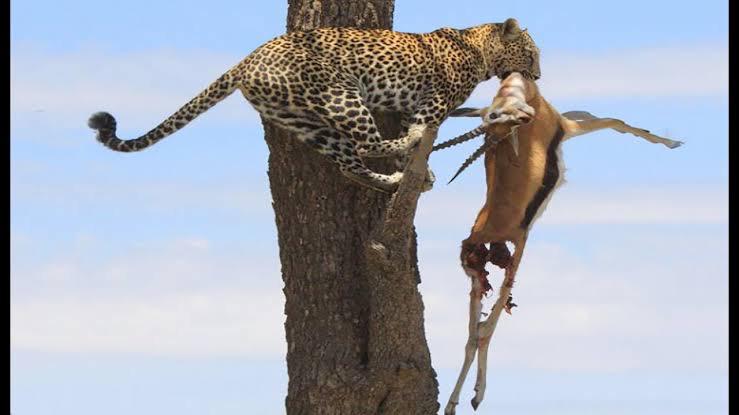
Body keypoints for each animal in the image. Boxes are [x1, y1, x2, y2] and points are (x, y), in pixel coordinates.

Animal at [89, 17, 540, 193]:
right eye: (532, 53)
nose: (536, 77)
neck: (479, 48)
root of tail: (246, 61)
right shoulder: (434, 101)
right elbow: (425, 125)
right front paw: (418, 156)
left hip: (307, 121)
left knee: (350, 163)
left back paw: (391, 181)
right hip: (341, 95)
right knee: (367, 144)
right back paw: (405, 153)